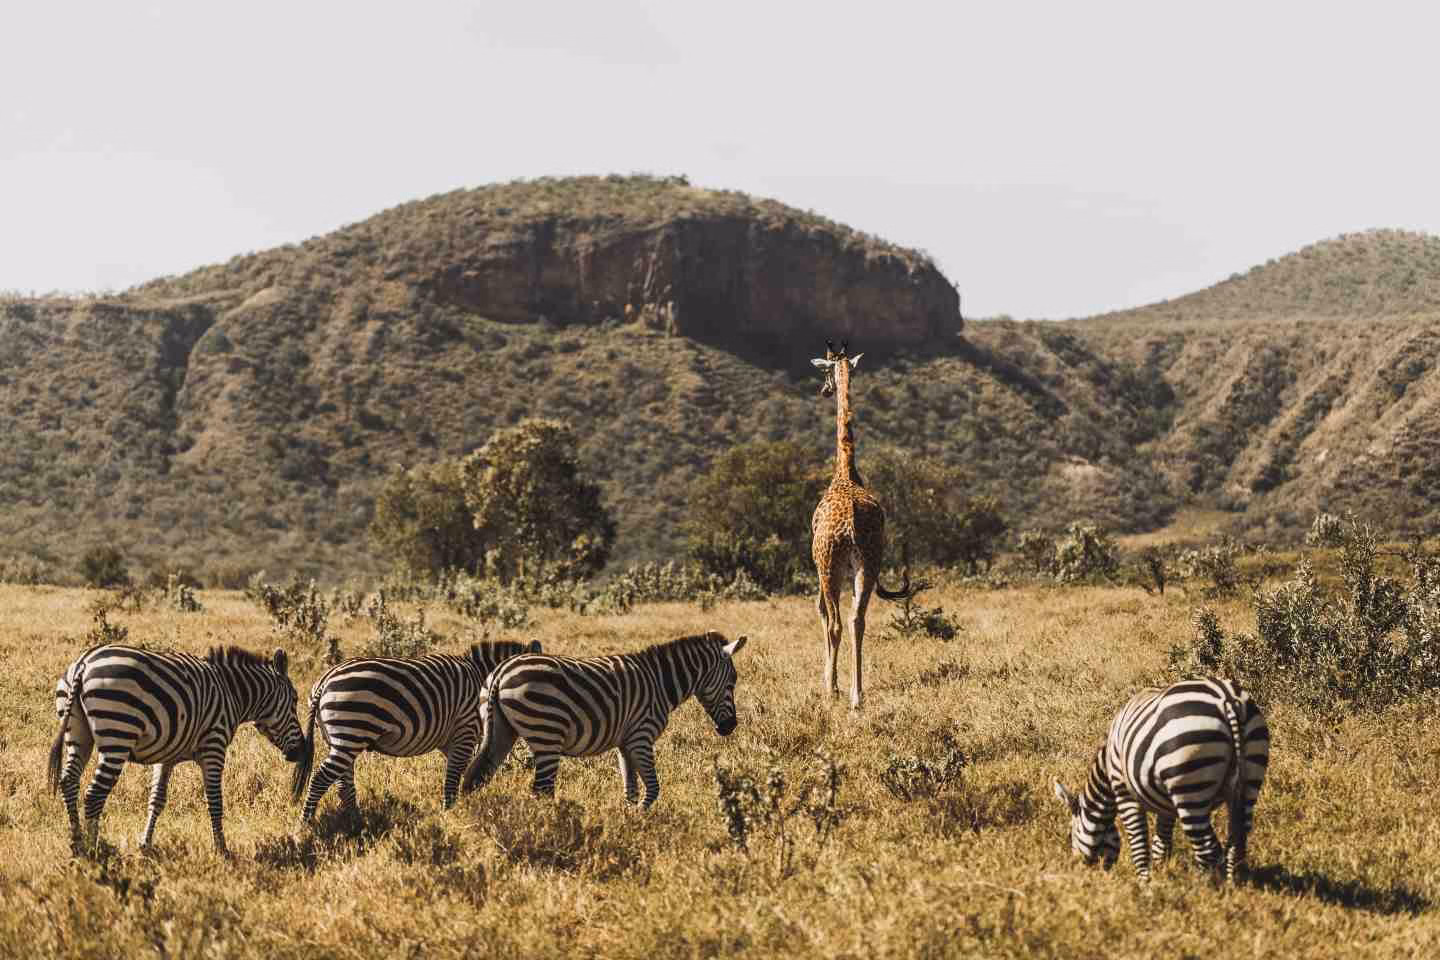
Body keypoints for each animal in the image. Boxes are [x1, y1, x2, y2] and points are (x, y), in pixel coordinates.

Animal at [48, 644, 305, 856]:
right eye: (295, 701)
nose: (300, 751)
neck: (233, 693)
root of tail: (83, 663)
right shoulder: (214, 746)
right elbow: (215, 800)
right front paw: (222, 850)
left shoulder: (167, 756)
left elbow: (157, 800)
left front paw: (145, 844)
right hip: (117, 735)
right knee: (94, 794)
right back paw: (95, 850)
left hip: (78, 735)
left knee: (69, 781)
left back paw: (77, 842)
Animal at [292, 640, 542, 821]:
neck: (481, 677)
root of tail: (325, 680)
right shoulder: (465, 729)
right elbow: (453, 775)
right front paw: (450, 813)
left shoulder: (451, 740)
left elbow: (458, 772)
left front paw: (455, 807)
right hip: (351, 731)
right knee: (321, 778)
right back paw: (306, 823)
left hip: (339, 738)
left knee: (343, 784)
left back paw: (355, 821)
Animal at [462, 631, 749, 808]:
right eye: (733, 682)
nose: (730, 727)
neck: (660, 683)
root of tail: (500, 672)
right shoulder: (641, 736)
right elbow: (653, 788)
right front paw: (641, 819)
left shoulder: (625, 743)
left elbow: (631, 789)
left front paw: (628, 820)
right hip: (546, 733)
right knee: (541, 789)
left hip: (501, 730)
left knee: (476, 776)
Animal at [810, 339, 912, 710]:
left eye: (825, 370)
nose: (825, 390)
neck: (846, 471)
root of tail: (852, 523)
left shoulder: (820, 566)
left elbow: (822, 614)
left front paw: (828, 682)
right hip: (868, 563)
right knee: (858, 619)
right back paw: (858, 695)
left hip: (830, 566)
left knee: (836, 622)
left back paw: (835, 691)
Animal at [1052, 677, 1269, 882]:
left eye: (1071, 835)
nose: (1079, 869)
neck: (1107, 765)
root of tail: (1227, 699)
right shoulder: (1167, 805)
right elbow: (1161, 843)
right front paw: (1162, 875)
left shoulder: (1123, 791)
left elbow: (1139, 843)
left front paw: (1145, 884)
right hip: (1250, 776)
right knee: (1237, 840)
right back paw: (1234, 886)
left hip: (1190, 785)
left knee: (1207, 848)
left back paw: (1205, 888)